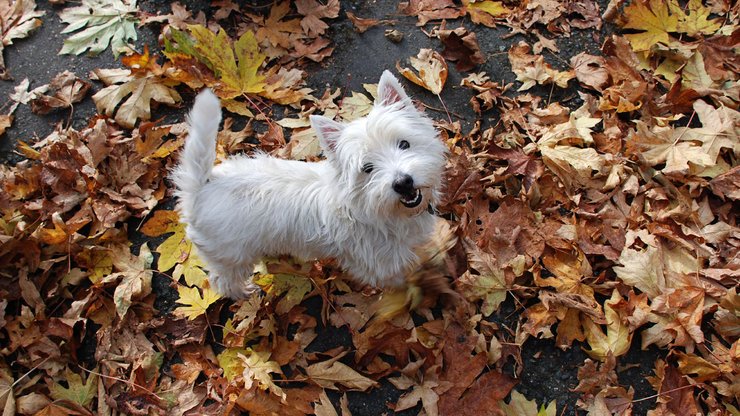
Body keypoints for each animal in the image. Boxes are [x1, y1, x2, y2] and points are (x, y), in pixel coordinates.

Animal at [173, 71, 448, 300]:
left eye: (404, 144)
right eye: (367, 168)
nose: (403, 183)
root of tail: (201, 188)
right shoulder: (380, 263)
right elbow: (398, 278)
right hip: (231, 256)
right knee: (223, 280)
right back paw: (244, 293)